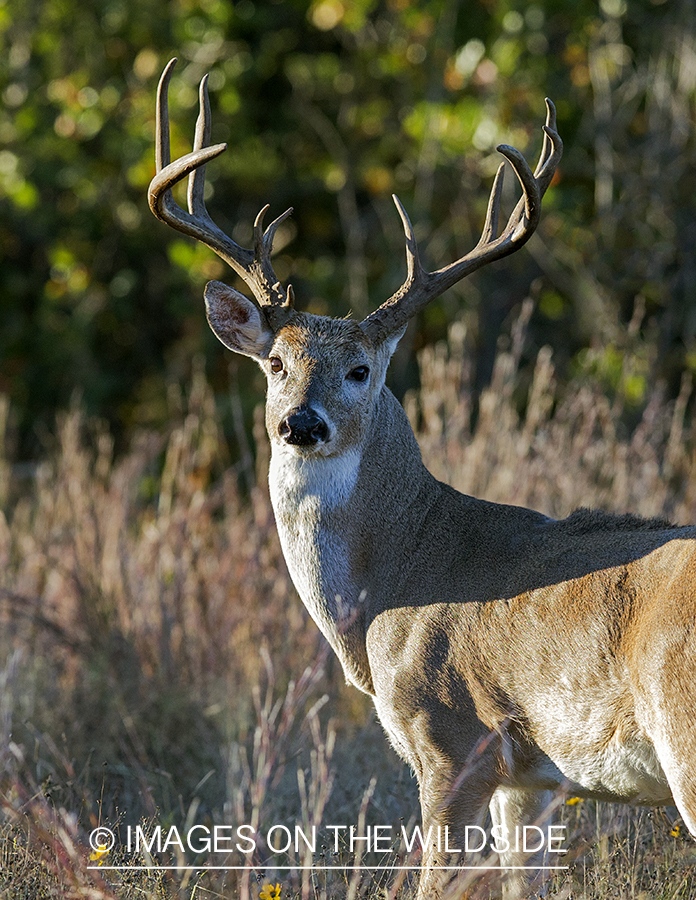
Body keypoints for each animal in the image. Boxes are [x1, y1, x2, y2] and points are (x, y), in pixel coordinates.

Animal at [147, 59, 696, 896]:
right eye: (274, 364)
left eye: (360, 370)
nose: (300, 424)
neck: (396, 582)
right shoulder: (532, 781)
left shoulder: (451, 738)